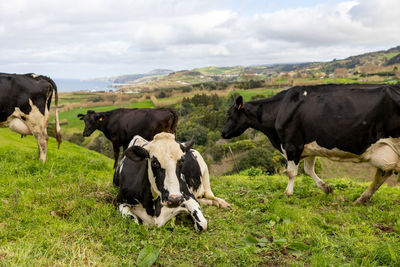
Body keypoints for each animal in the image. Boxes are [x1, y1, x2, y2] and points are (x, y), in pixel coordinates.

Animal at [222, 85, 400, 204]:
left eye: (229, 114)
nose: (222, 133)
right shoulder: (308, 147)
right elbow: (308, 170)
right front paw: (326, 188)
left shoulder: (292, 145)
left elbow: (291, 172)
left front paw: (288, 193)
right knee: (383, 173)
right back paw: (362, 199)